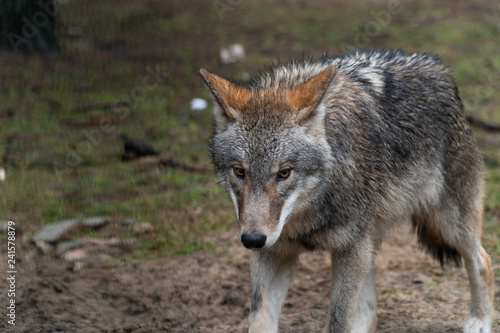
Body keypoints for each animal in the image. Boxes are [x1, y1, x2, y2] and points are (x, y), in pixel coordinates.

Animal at [198, 50, 492, 332]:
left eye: (284, 173)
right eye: (239, 172)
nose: (252, 240)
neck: (307, 214)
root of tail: (438, 67)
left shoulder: (350, 249)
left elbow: (338, 321)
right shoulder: (274, 252)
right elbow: (259, 318)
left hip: (446, 225)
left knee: (483, 261)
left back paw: (480, 321)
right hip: (369, 244)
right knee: (368, 309)